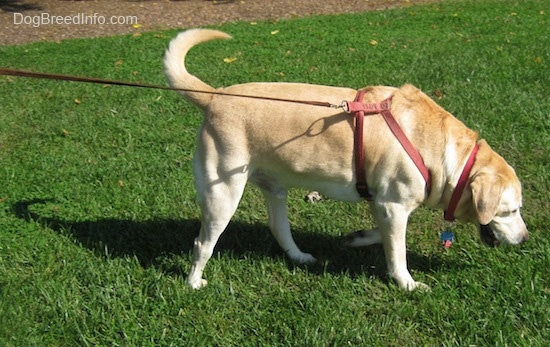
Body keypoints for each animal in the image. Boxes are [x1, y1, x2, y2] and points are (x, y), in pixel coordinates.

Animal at [165, 29, 532, 290]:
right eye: (510, 211)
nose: (526, 239)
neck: (439, 150)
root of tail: (215, 96)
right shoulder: (393, 206)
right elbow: (398, 252)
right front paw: (407, 283)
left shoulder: (383, 203)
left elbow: (383, 235)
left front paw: (358, 239)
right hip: (223, 193)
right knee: (202, 242)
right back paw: (193, 281)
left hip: (274, 189)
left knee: (279, 227)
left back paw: (300, 256)